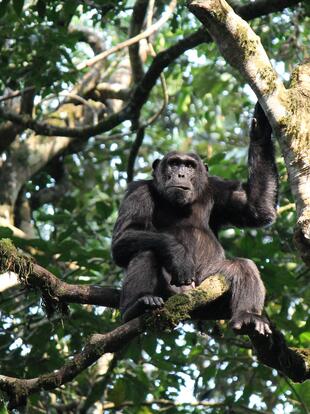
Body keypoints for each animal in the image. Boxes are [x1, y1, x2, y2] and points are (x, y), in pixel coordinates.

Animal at [112, 102, 278, 334]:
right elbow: (123, 237)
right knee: (146, 250)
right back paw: (138, 305)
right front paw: (178, 253)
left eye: (189, 166)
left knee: (243, 266)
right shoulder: (137, 192)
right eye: (173, 163)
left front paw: (261, 128)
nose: (180, 174)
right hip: (171, 291)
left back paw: (248, 316)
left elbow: (256, 208)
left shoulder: (218, 189)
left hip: (210, 283)